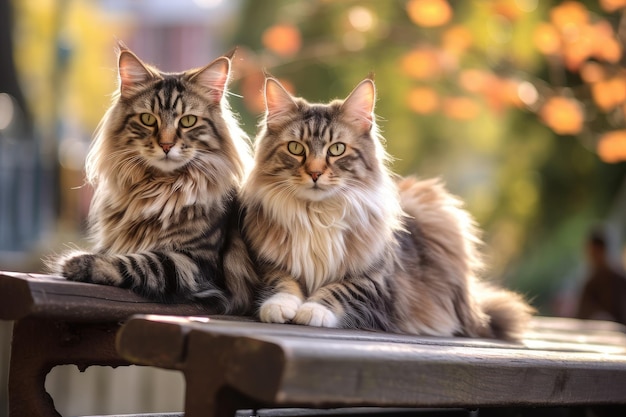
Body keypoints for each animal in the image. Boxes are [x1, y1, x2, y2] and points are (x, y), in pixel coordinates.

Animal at [53, 46, 254, 312]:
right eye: (148, 119)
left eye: (188, 121)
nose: (166, 145)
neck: (159, 187)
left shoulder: (195, 263)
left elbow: (139, 262)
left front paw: (77, 262)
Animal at [239, 76, 532, 340]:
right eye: (295, 148)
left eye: (337, 149)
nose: (314, 173)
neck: (318, 215)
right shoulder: (268, 264)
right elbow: (282, 283)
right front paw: (279, 305)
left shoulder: (376, 282)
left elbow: (340, 290)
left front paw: (313, 310)